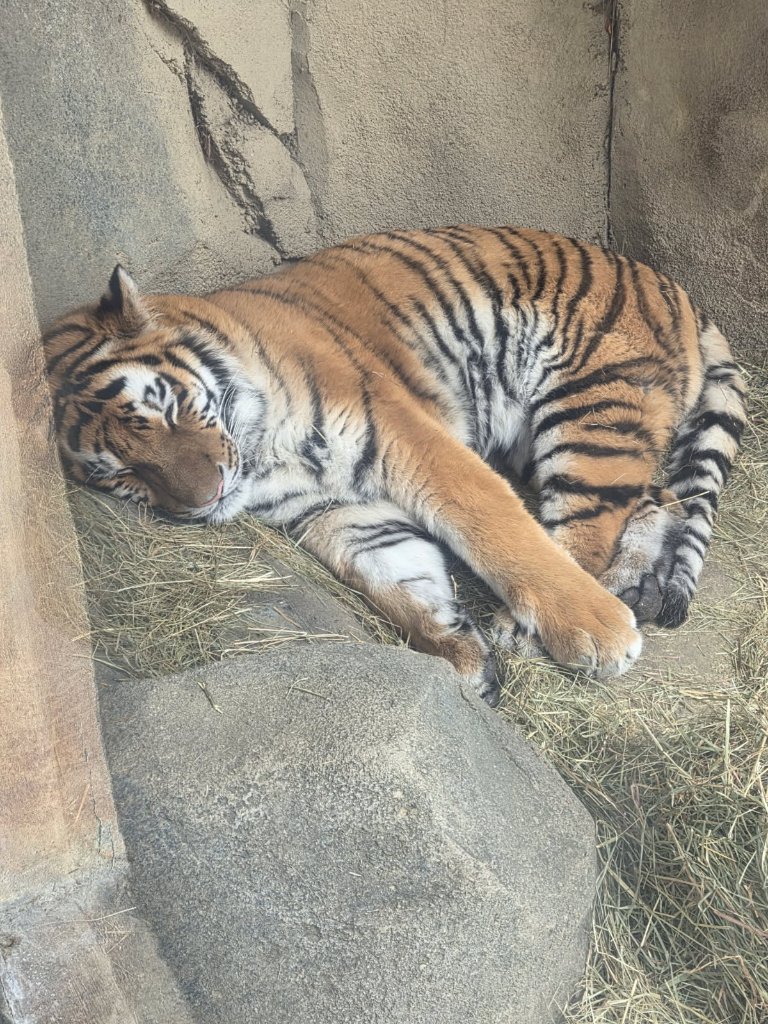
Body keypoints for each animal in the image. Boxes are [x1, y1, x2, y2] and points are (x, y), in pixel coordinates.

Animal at [44, 226, 747, 706]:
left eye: (161, 410)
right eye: (119, 475)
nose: (202, 500)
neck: (263, 456)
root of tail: (673, 286)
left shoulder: (405, 435)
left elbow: (496, 528)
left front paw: (594, 631)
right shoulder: (336, 512)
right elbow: (398, 579)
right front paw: (461, 654)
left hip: (592, 408)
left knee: (590, 525)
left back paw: (556, 621)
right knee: (657, 502)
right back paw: (632, 590)